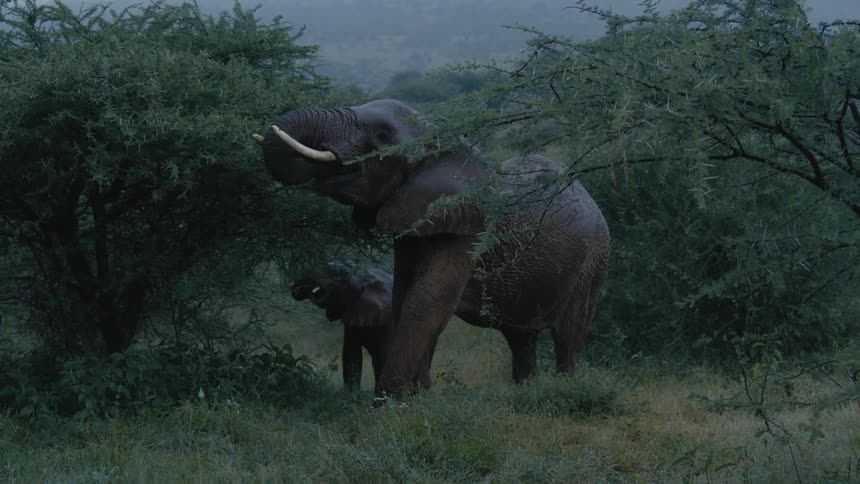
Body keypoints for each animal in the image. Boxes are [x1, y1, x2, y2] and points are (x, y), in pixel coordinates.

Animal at [290, 262, 433, 391]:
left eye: (338, 274)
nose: (295, 288)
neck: (361, 279)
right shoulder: (354, 312)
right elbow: (351, 354)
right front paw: (351, 394)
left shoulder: (388, 318)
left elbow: (385, 355)